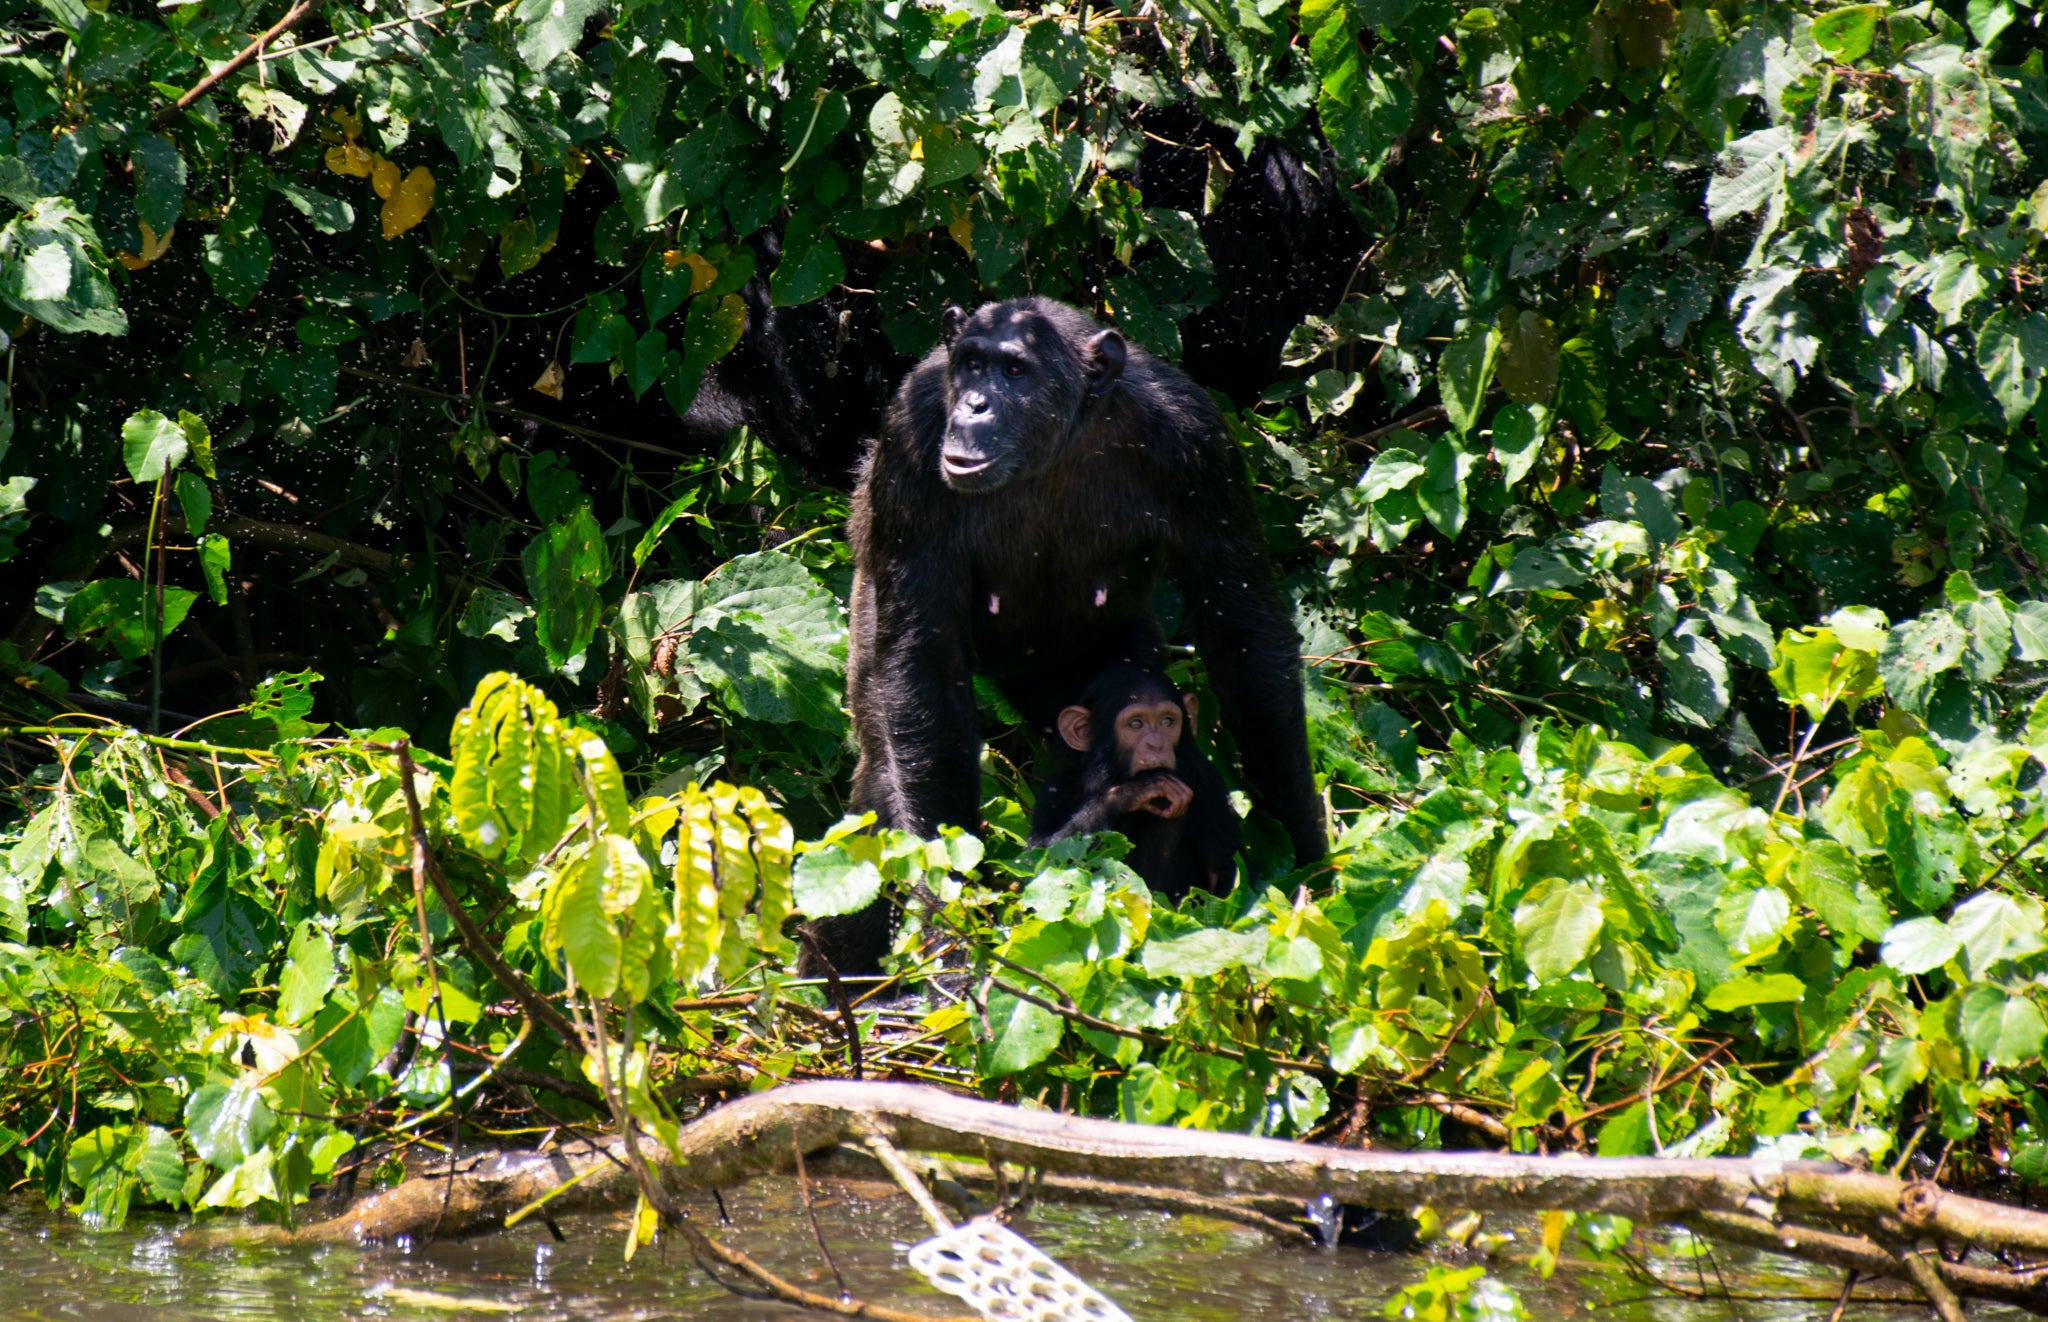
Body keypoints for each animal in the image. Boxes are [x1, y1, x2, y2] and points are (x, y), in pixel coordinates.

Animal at [1032, 667, 1236, 904]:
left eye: (1167, 722)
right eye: (1135, 724)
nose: (1156, 744)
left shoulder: (1207, 780)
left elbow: (1223, 875)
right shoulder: (1057, 789)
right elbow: (1040, 857)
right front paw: (1135, 790)